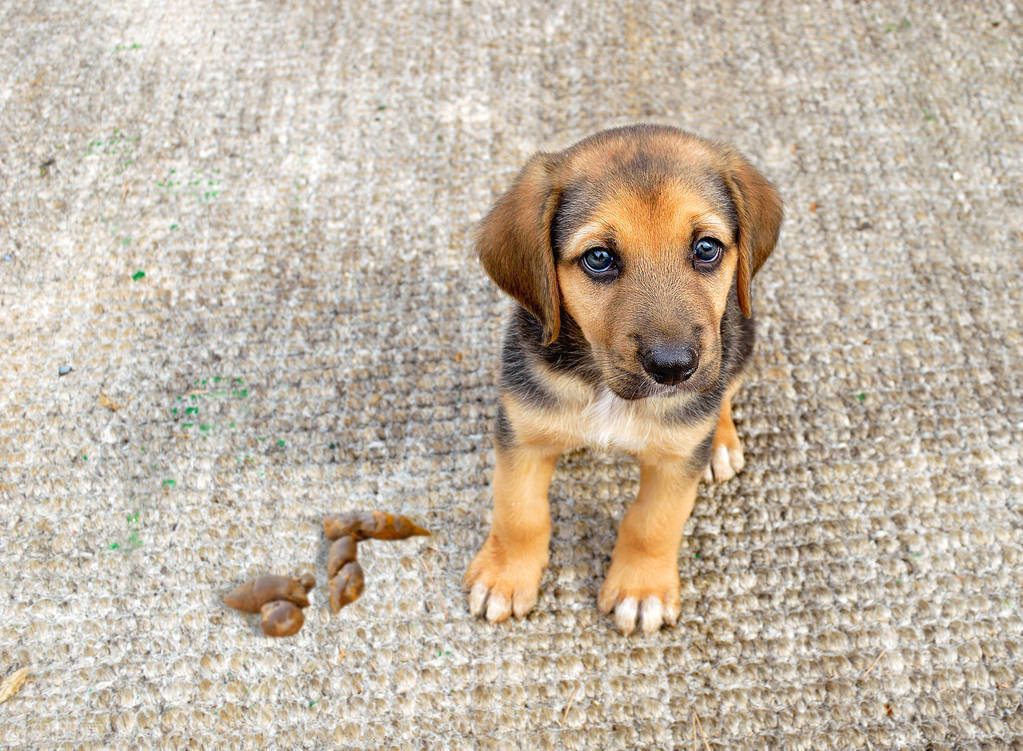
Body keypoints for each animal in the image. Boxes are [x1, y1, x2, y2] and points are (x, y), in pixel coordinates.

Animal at [464, 123, 781, 634]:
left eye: (706, 248)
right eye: (598, 258)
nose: (674, 368)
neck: (605, 389)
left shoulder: (675, 461)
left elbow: (653, 524)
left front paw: (641, 589)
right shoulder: (521, 434)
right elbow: (518, 514)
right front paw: (504, 576)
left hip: (741, 336)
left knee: (726, 390)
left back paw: (720, 442)